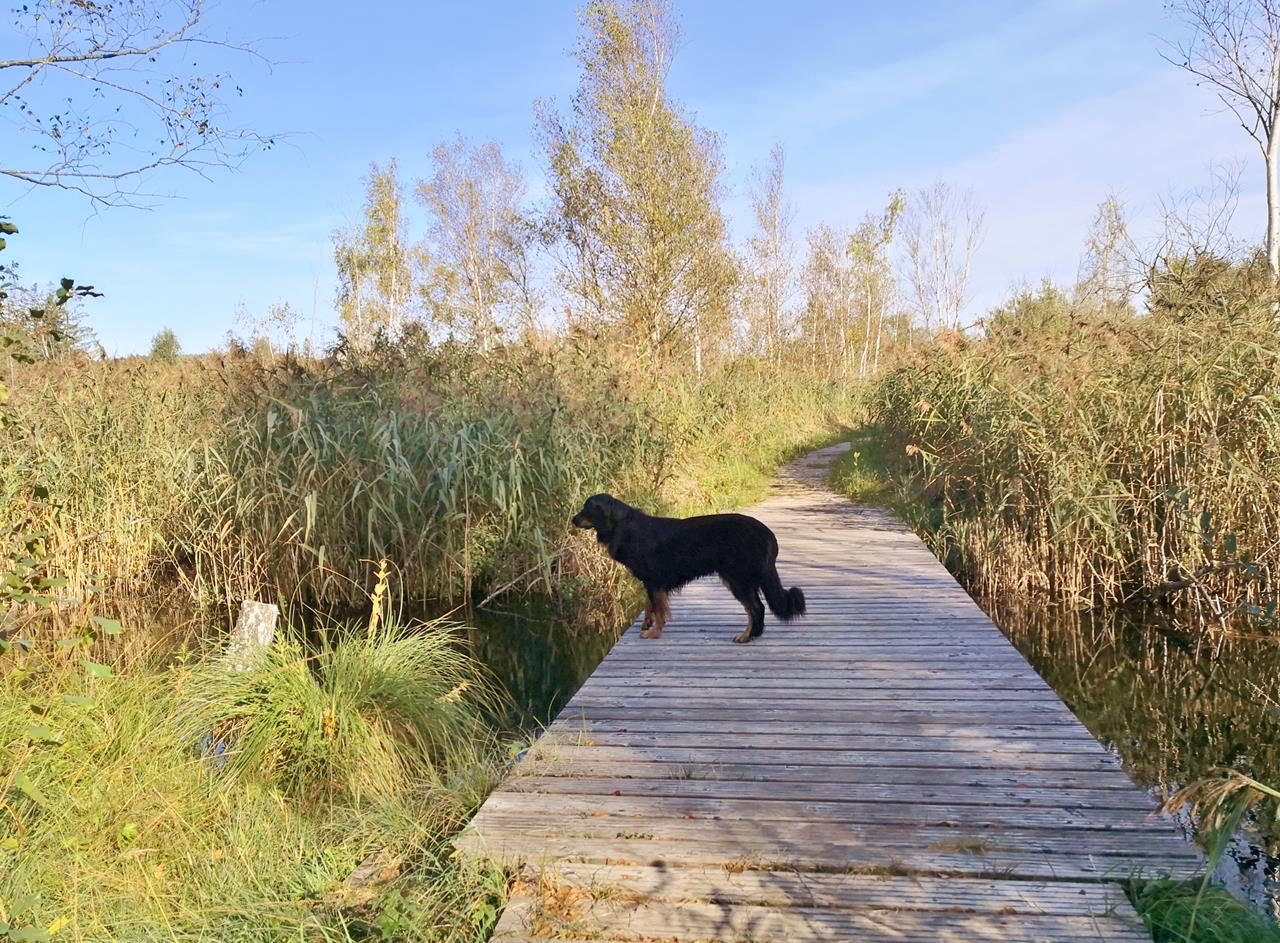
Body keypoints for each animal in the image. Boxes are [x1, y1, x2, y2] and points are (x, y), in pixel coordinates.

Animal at [573, 493, 803, 639]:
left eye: (586, 508)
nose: (573, 520)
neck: (623, 525)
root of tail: (767, 534)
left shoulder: (654, 581)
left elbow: (659, 610)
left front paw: (654, 632)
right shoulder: (652, 582)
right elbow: (650, 606)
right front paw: (647, 624)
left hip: (737, 579)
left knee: (755, 608)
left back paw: (746, 636)